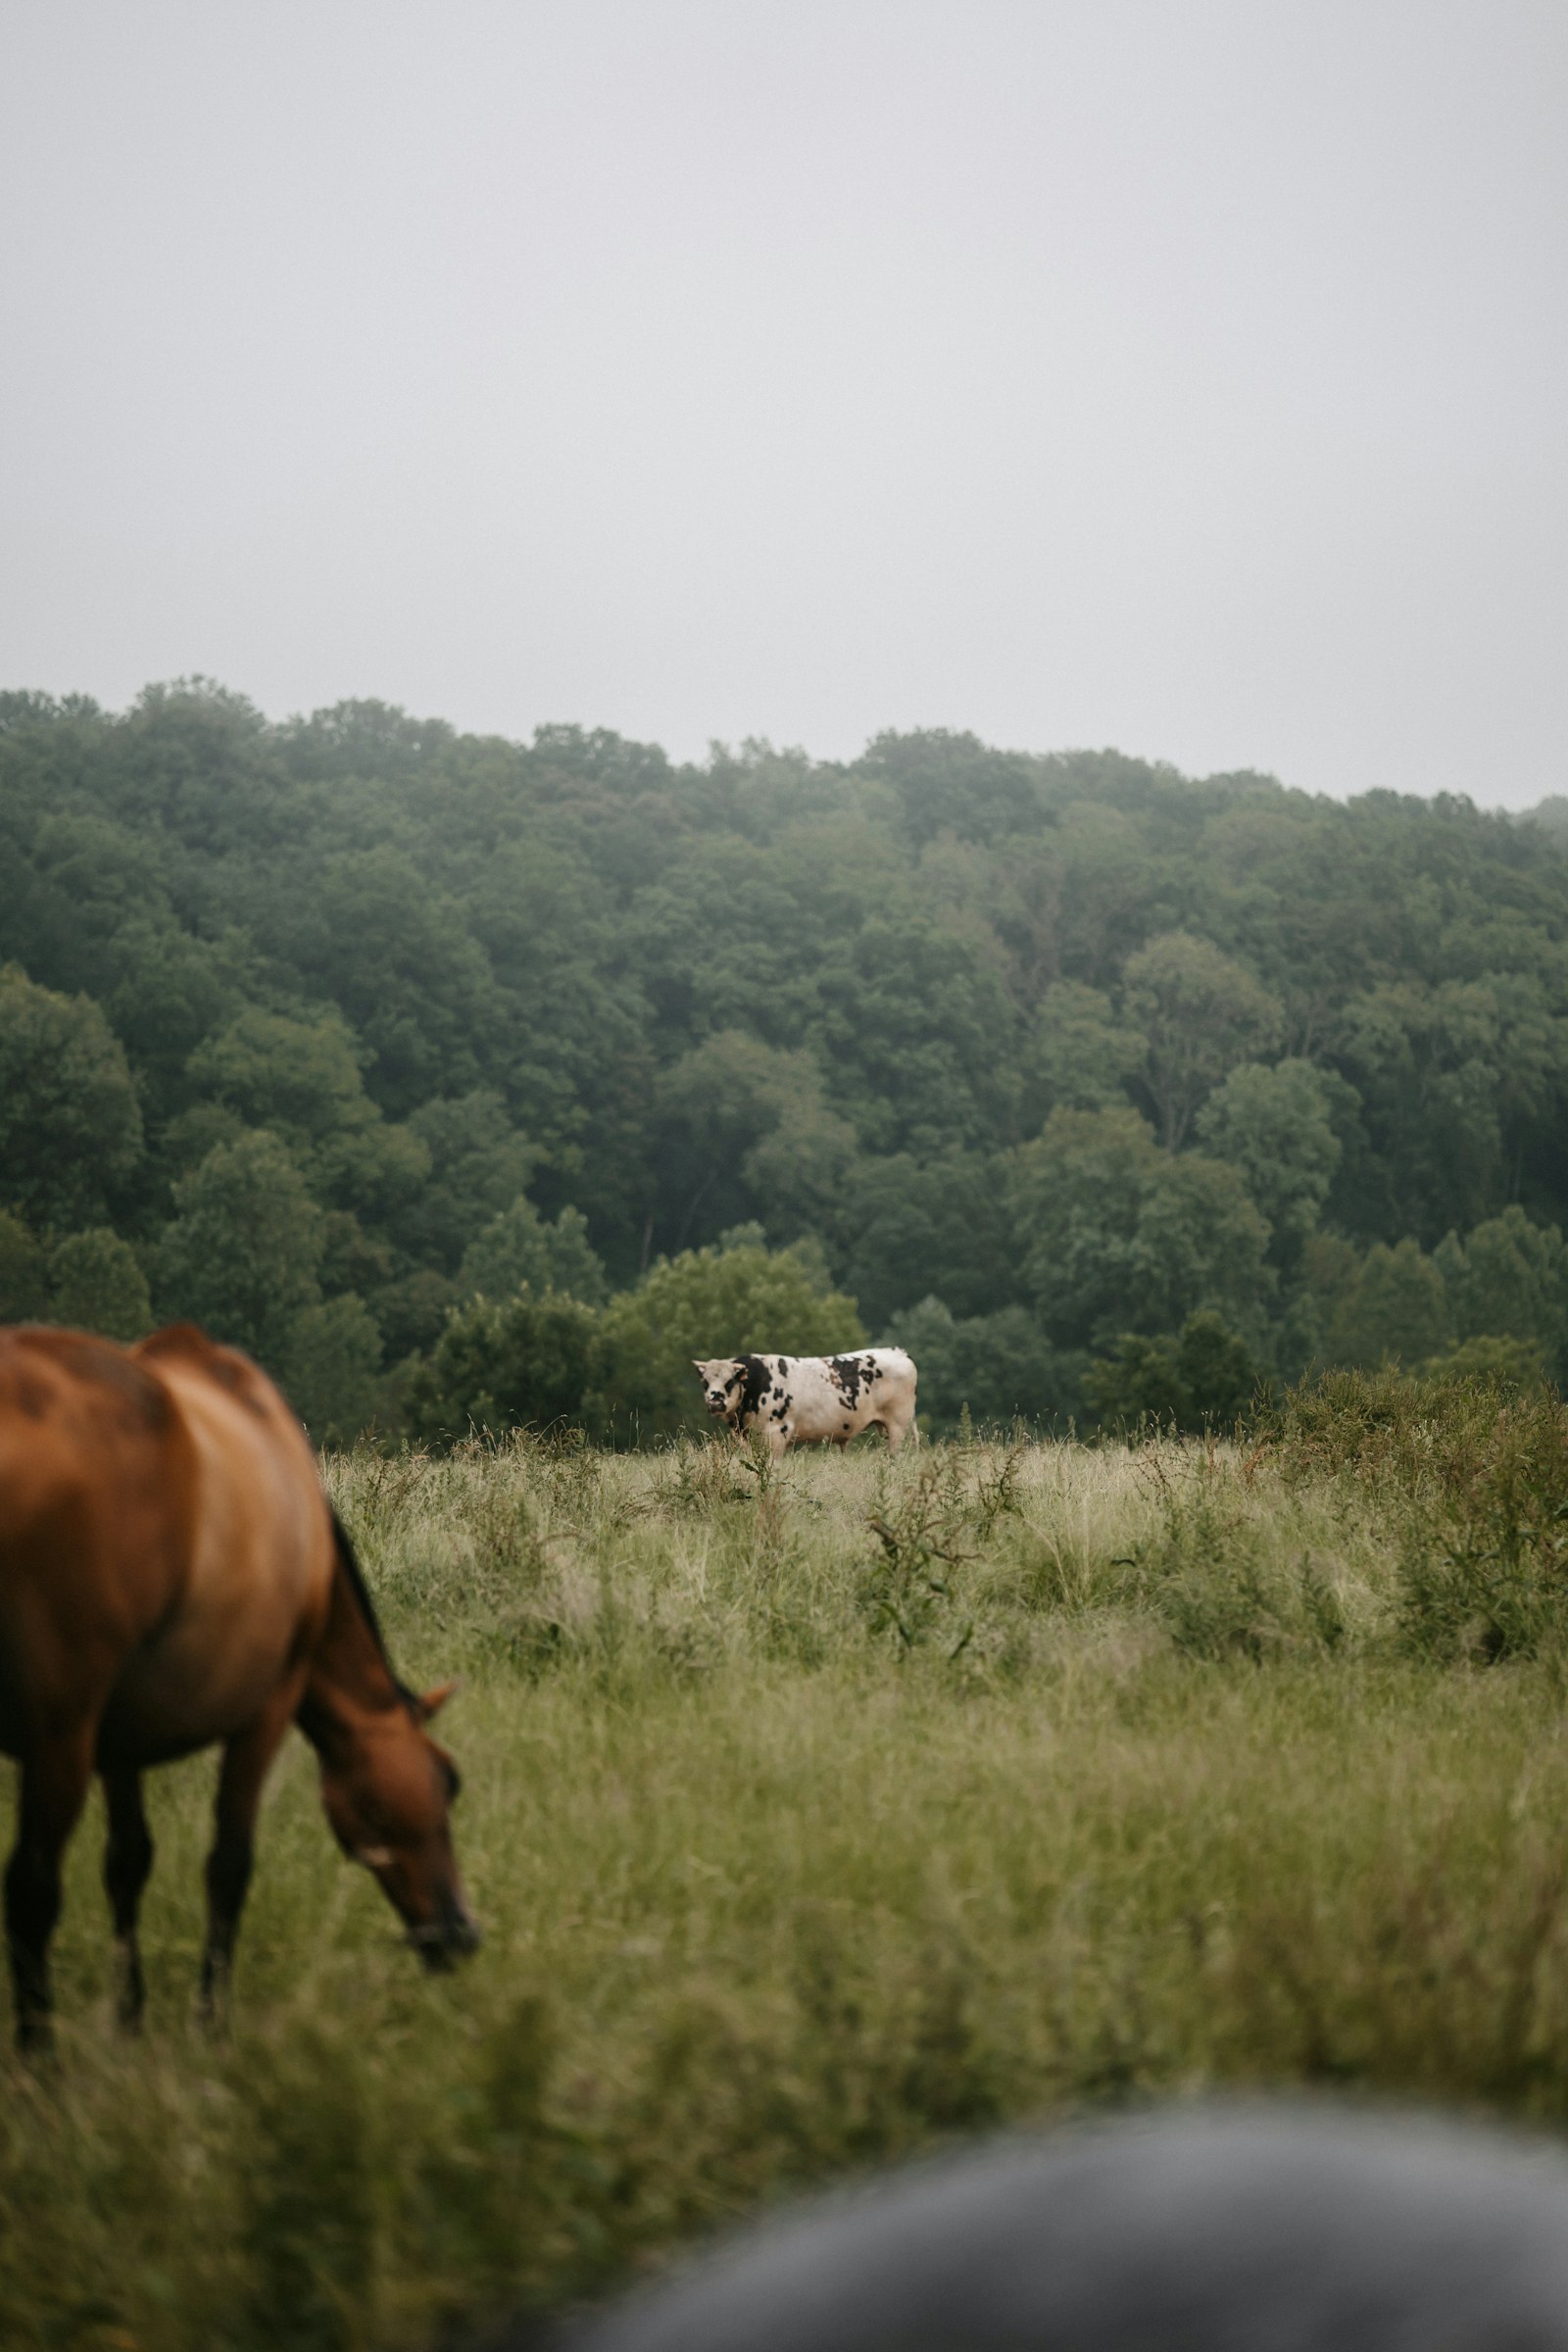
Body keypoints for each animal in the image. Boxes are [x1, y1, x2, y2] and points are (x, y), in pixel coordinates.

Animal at [692, 1349, 918, 1458]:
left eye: (729, 1382)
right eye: (705, 1383)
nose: (714, 1401)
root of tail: (897, 1352)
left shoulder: (777, 1434)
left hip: (899, 1426)